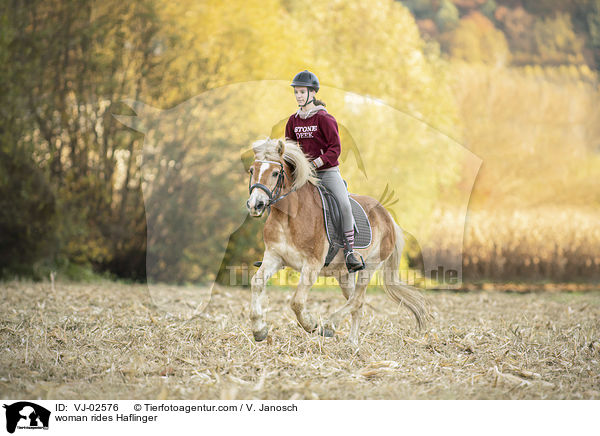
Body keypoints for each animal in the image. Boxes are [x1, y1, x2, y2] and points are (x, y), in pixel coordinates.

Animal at [244, 138, 426, 346]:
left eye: (275, 173)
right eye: (252, 170)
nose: (255, 205)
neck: (289, 216)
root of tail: (387, 216)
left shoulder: (312, 264)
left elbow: (296, 302)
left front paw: (311, 324)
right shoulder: (274, 257)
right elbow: (257, 283)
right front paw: (259, 329)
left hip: (370, 266)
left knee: (356, 300)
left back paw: (330, 326)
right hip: (344, 274)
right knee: (356, 302)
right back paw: (352, 343)